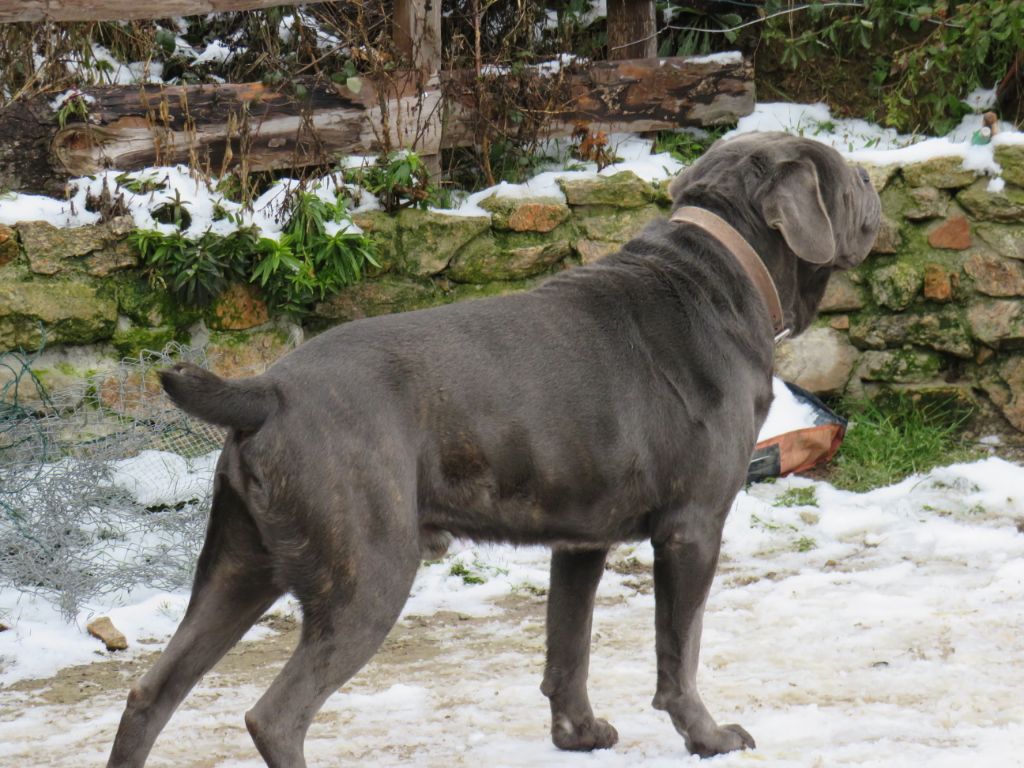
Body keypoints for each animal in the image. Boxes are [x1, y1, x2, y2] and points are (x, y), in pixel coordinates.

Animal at [108, 132, 884, 765]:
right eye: (843, 173)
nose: (873, 177)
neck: (722, 268)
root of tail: (266, 391)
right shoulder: (693, 528)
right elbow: (680, 651)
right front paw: (708, 737)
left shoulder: (581, 540)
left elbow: (568, 646)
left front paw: (579, 734)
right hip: (367, 574)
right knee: (276, 716)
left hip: (238, 566)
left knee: (150, 693)